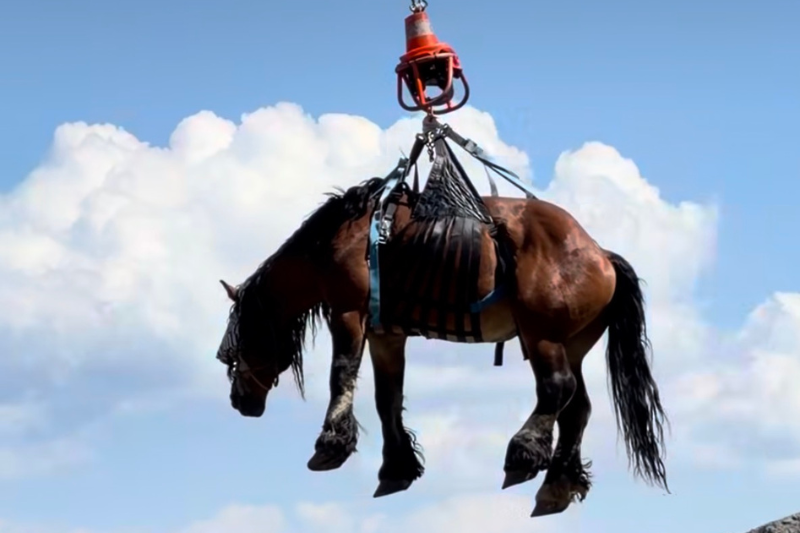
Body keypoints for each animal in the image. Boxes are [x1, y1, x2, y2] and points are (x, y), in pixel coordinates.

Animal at [214, 176, 669, 517]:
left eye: (235, 347)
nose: (239, 400)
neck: (345, 237)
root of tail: (601, 254)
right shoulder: (386, 334)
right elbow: (387, 398)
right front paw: (396, 466)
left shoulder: (348, 313)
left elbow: (341, 375)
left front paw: (332, 444)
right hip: (571, 343)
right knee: (577, 408)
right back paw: (556, 482)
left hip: (542, 336)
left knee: (556, 388)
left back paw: (523, 452)